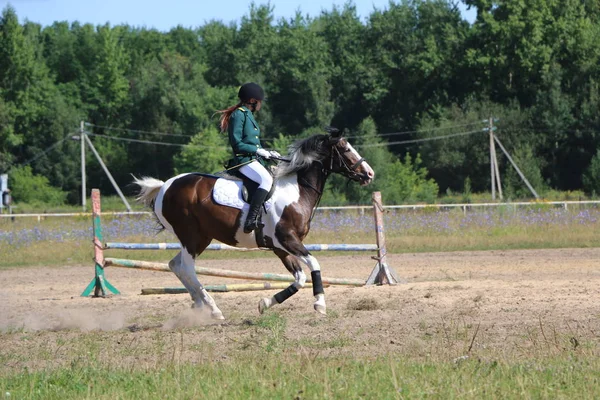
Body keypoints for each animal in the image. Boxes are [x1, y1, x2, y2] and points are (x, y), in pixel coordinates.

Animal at [134, 130, 372, 320]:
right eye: (345, 149)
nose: (369, 174)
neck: (297, 192)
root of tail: (165, 186)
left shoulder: (280, 247)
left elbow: (299, 278)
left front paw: (265, 303)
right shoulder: (288, 240)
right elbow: (314, 264)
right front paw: (320, 304)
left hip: (201, 238)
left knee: (176, 265)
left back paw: (200, 304)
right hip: (190, 236)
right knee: (187, 268)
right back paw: (214, 309)